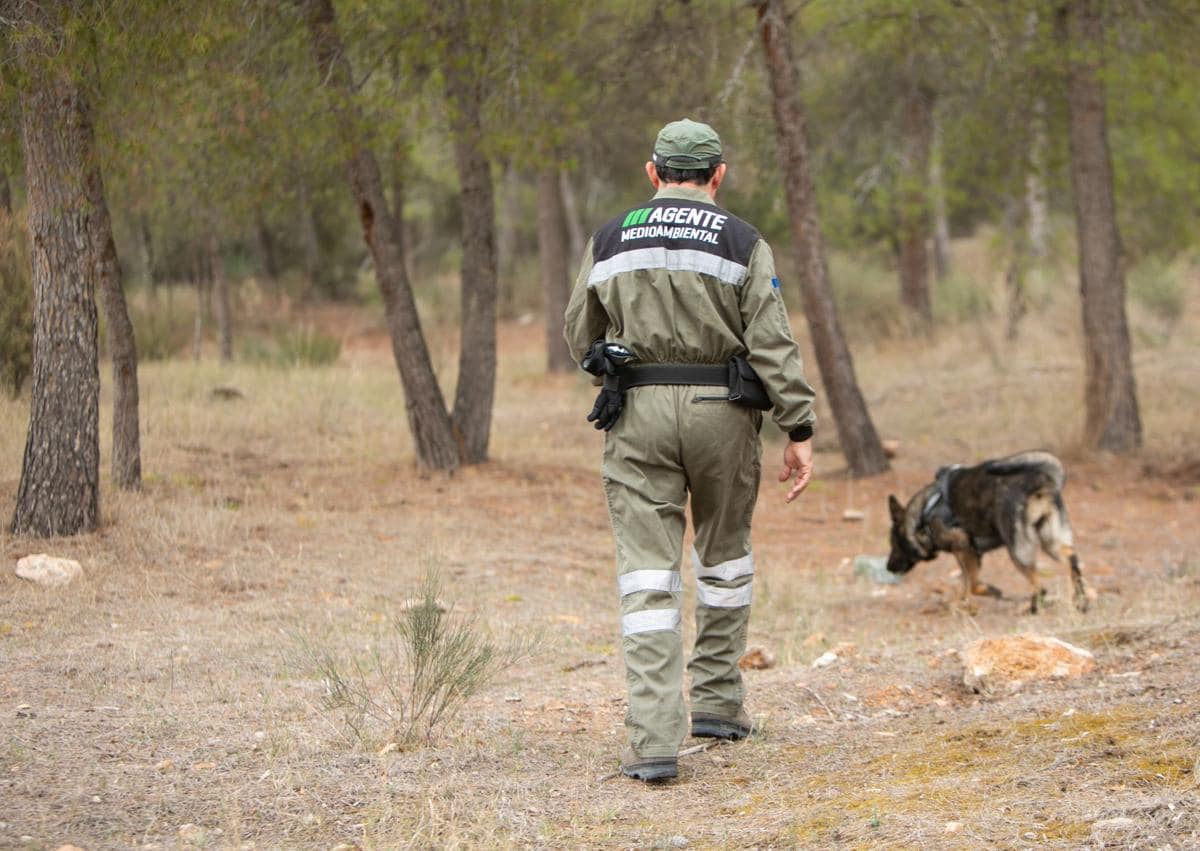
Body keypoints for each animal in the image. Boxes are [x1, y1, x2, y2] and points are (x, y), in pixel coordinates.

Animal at [883, 451, 1089, 609]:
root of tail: (1038, 482)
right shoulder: (971, 554)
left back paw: (1034, 607)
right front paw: (959, 604)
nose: (888, 567)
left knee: (1041, 587)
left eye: (894, 544)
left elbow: (973, 584)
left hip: (1018, 551)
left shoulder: (963, 548)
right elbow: (966, 583)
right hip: (1050, 542)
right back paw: (1080, 601)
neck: (924, 517)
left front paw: (990, 592)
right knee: (1071, 559)